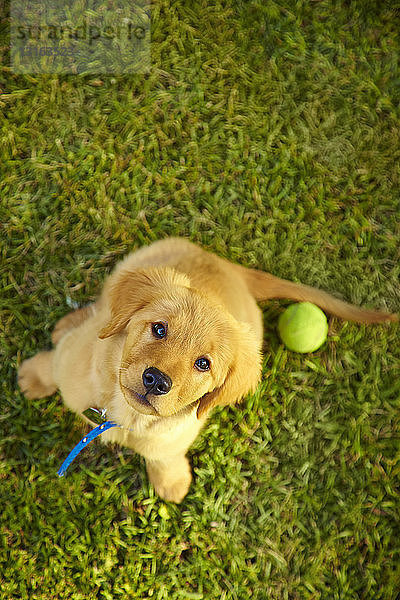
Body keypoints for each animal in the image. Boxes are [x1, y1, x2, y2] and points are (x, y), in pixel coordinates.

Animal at [18, 238, 396, 502]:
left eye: (204, 364)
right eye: (159, 329)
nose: (156, 381)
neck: (126, 415)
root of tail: (232, 268)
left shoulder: (176, 434)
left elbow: (165, 456)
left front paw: (171, 482)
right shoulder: (72, 362)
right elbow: (53, 364)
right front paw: (32, 378)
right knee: (102, 307)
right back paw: (68, 324)